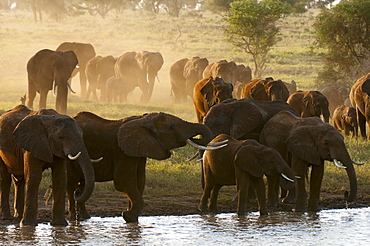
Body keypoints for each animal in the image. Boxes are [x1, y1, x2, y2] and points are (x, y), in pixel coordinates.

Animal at [65, 110, 224, 222]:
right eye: (171, 127)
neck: (142, 120)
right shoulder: (121, 151)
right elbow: (124, 182)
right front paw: (128, 216)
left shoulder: (140, 151)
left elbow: (139, 181)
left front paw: (132, 218)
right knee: (71, 185)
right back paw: (73, 218)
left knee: (82, 184)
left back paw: (85, 217)